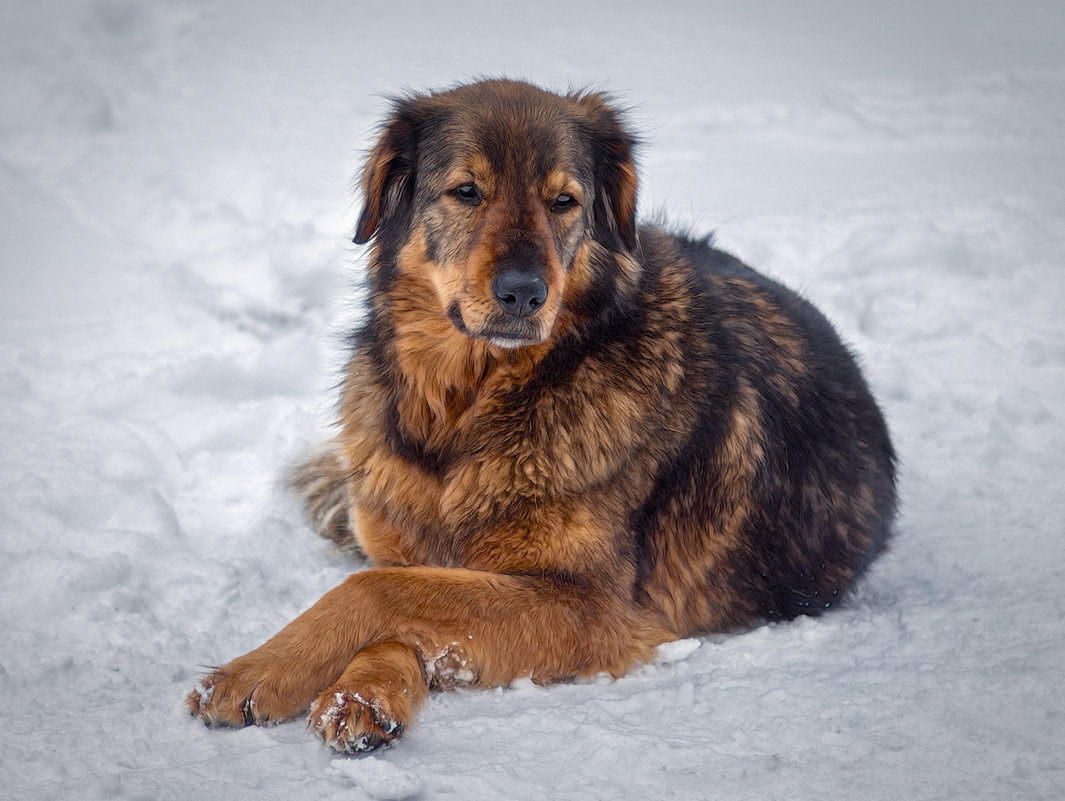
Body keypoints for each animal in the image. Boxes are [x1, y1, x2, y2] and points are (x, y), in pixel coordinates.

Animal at [187, 78, 894, 754]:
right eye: (466, 192)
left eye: (563, 202)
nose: (524, 293)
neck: (469, 407)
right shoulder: (420, 549)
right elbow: (402, 595)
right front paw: (354, 691)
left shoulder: (593, 607)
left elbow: (377, 592)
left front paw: (267, 673)